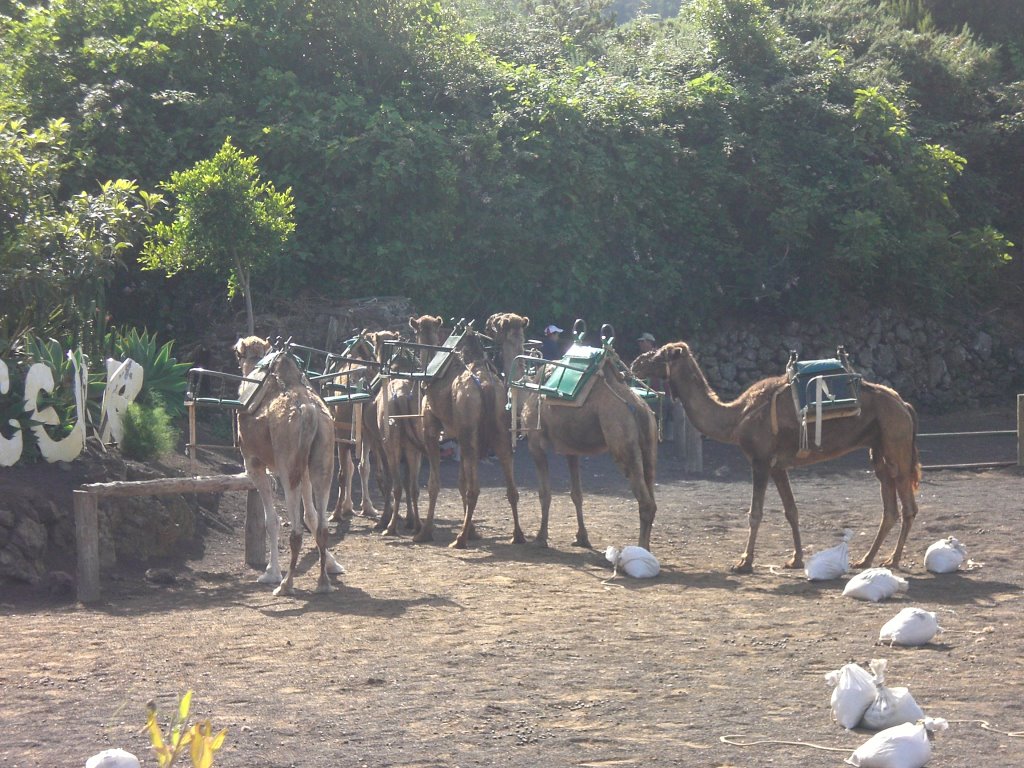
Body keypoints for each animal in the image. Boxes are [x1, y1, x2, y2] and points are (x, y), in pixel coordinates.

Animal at [234, 335, 342, 593]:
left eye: (237, 354)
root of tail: (309, 411)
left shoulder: (254, 463)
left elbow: (271, 520)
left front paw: (270, 572)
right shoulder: (305, 469)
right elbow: (311, 516)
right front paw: (332, 565)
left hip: (286, 465)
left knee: (294, 529)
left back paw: (285, 584)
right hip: (322, 461)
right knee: (322, 524)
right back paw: (323, 583)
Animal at [405, 315, 524, 548]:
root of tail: (487, 387)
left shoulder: (431, 429)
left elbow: (434, 484)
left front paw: (425, 532)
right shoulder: (458, 435)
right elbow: (460, 483)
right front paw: (474, 531)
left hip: (470, 432)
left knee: (474, 489)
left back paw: (459, 539)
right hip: (497, 432)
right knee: (510, 486)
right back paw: (517, 535)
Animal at [516, 325, 659, 552]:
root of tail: (640, 409)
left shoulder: (535, 442)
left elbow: (544, 493)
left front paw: (540, 538)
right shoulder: (571, 449)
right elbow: (577, 494)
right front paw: (582, 537)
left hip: (623, 444)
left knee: (645, 502)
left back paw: (641, 550)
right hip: (649, 446)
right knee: (652, 493)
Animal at [626, 346, 925, 573]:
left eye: (661, 354)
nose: (636, 362)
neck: (736, 417)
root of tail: (905, 405)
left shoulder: (759, 460)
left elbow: (755, 513)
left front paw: (744, 562)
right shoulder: (778, 465)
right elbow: (791, 511)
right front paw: (795, 559)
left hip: (895, 440)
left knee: (907, 504)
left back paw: (893, 560)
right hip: (878, 447)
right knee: (889, 506)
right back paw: (865, 560)